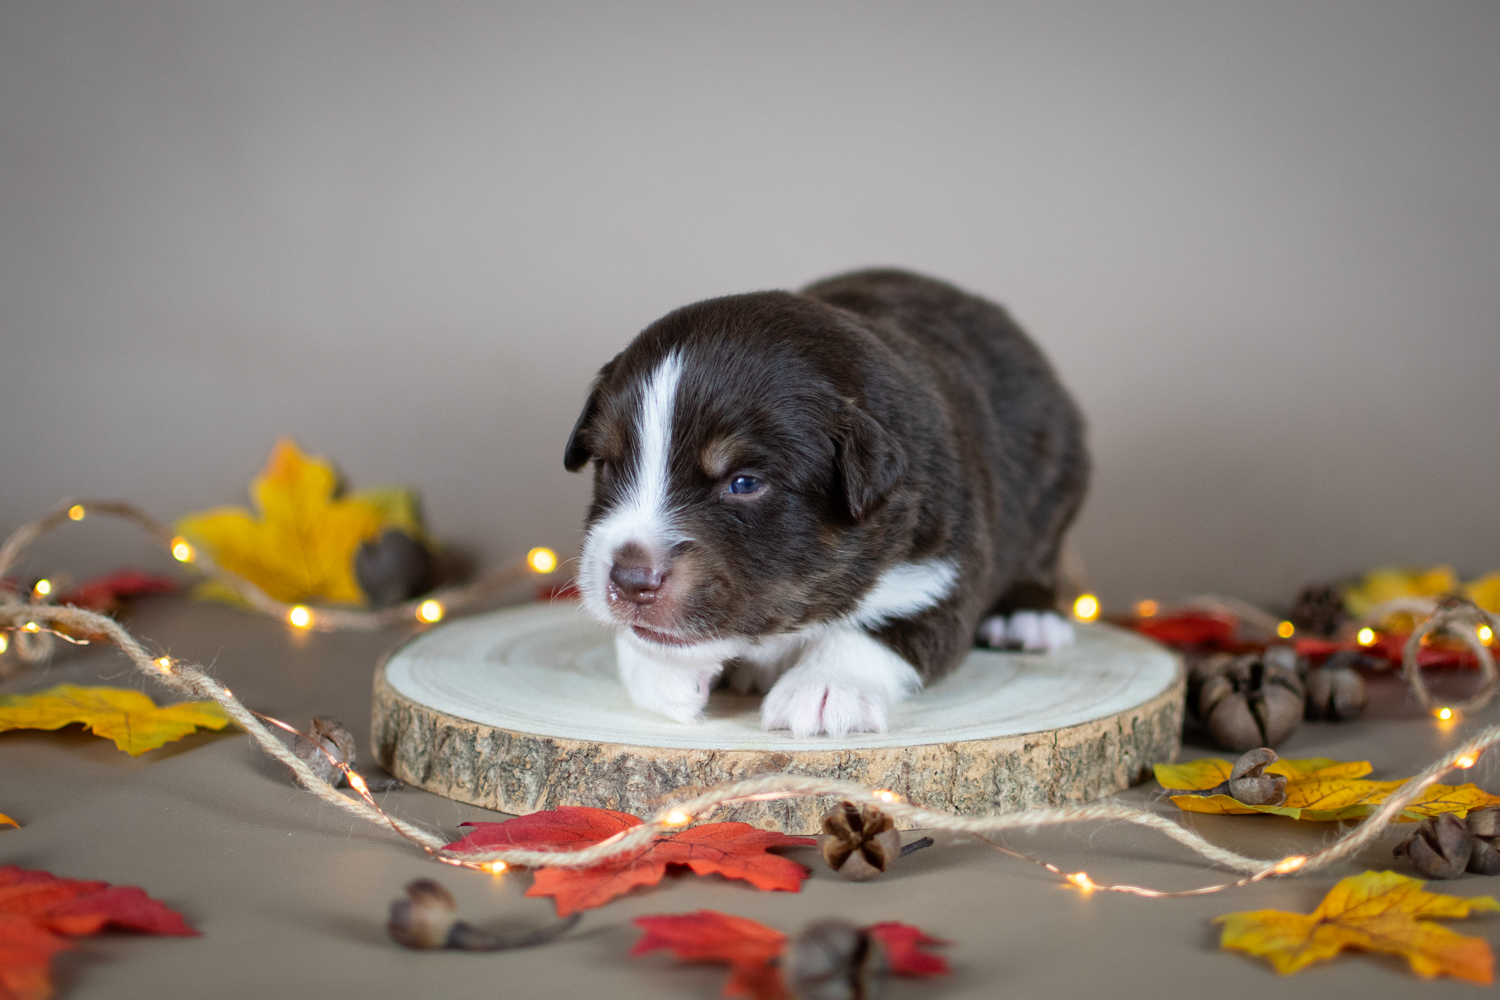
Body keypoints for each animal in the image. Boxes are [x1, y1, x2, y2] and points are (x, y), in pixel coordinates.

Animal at [564, 269, 1092, 740]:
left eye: (743, 483)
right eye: (608, 465)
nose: (630, 580)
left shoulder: (947, 568)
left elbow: (883, 629)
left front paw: (823, 688)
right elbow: (639, 642)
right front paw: (664, 671)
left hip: (1055, 494)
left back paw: (1030, 619)